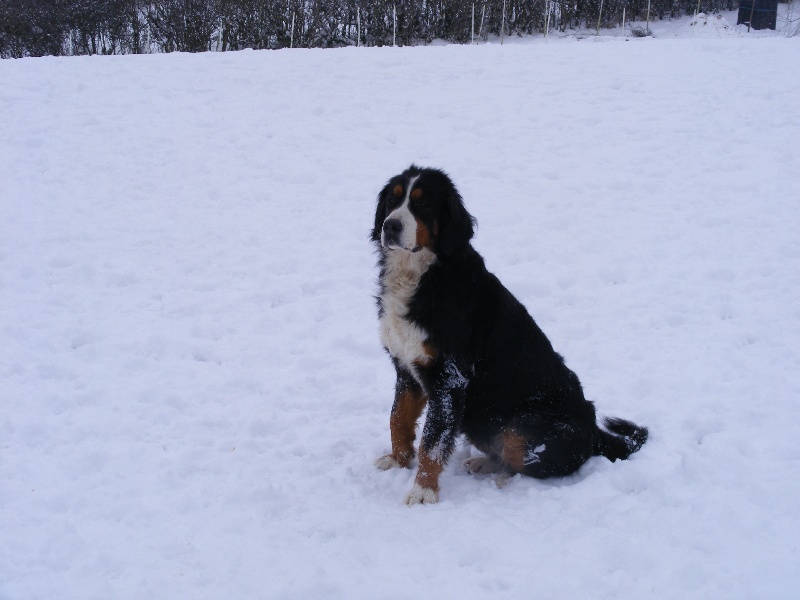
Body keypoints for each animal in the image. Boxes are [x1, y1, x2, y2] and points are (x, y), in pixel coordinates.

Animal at [372, 165, 648, 506]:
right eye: (392, 200)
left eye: (423, 203)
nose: (390, 226)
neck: (422, 276)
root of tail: (594, 429)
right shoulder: (407, 367)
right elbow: (398, 419)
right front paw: (397, 461)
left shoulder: (449, 379)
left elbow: (432, 445)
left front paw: (423, 492)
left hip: (523, 426)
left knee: (534, 461)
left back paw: (505, 480)